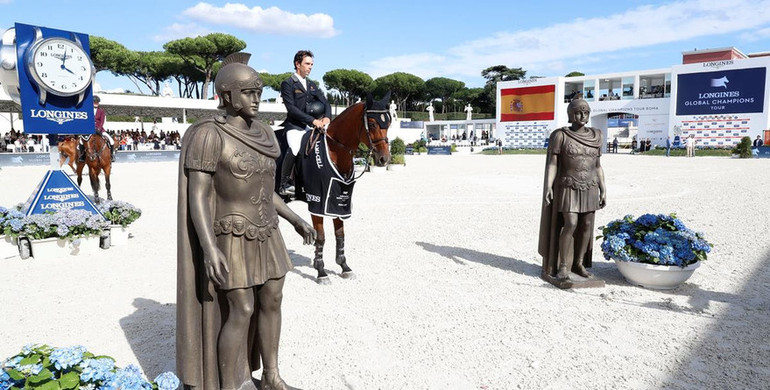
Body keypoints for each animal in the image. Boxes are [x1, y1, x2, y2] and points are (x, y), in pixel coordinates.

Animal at [280, 93, 390, 284]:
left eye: (388, 123)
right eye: (372, 124)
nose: (384, 159)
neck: (335, 150)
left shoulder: (338, 201)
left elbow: (340, 234)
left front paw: (344, 266)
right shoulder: (317, 202)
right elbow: (321, 237)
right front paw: (321, 271)